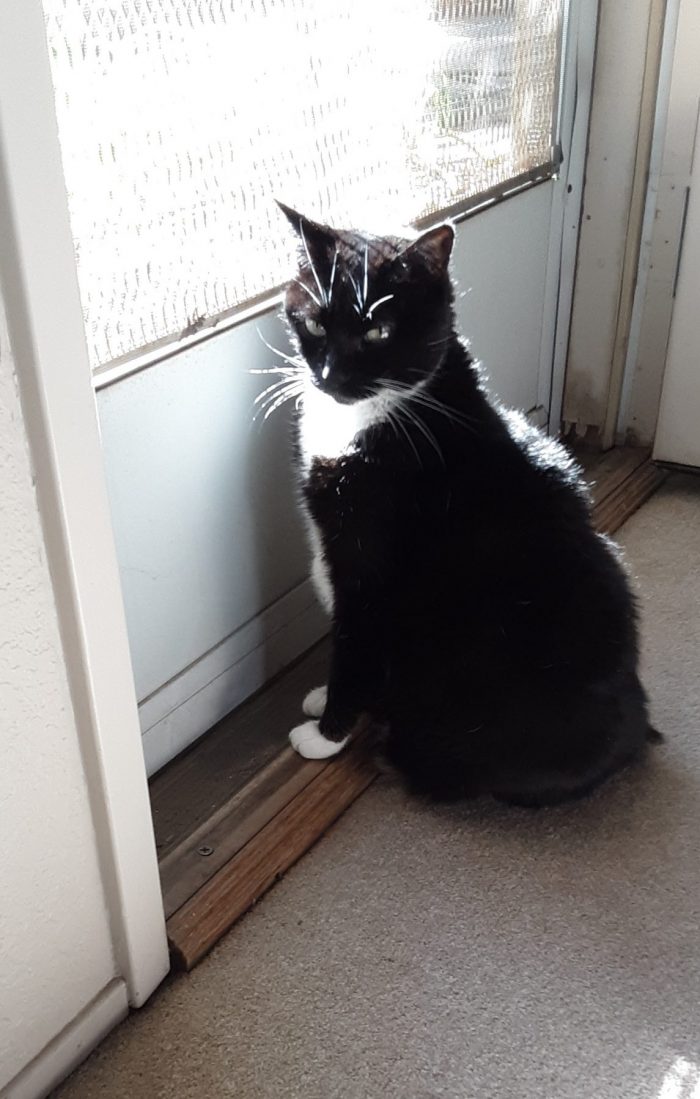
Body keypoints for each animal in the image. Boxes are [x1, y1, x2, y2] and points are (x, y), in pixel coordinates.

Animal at [274, 204, 654, 808]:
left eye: (378, 331)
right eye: (313, 325)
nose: (331, 376)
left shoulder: (367, 568)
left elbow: (354, 643)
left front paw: (326, 733)